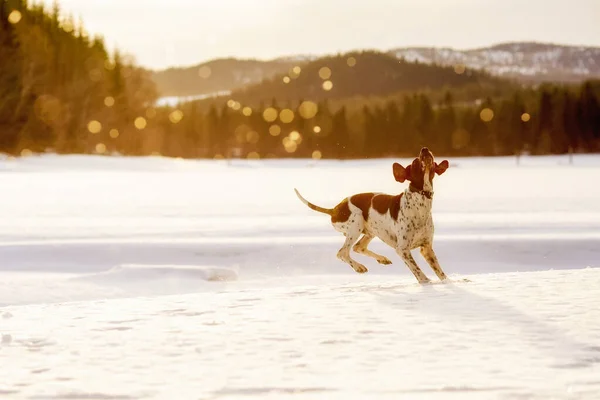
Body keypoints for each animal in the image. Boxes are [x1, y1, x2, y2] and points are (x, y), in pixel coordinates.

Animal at [296, 148, 450, 284]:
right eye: (415, 162)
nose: (425, 149)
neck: (420, 201)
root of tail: (334, 209)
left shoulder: (426, 248)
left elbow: (440, 272)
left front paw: (447, 283)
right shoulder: (402, 250)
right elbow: (417, 271)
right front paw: (427, 282)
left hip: (371, 231)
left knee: (358, 247)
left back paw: (382, 259)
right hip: (356, 223)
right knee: (342, 252)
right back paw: (359, 267)